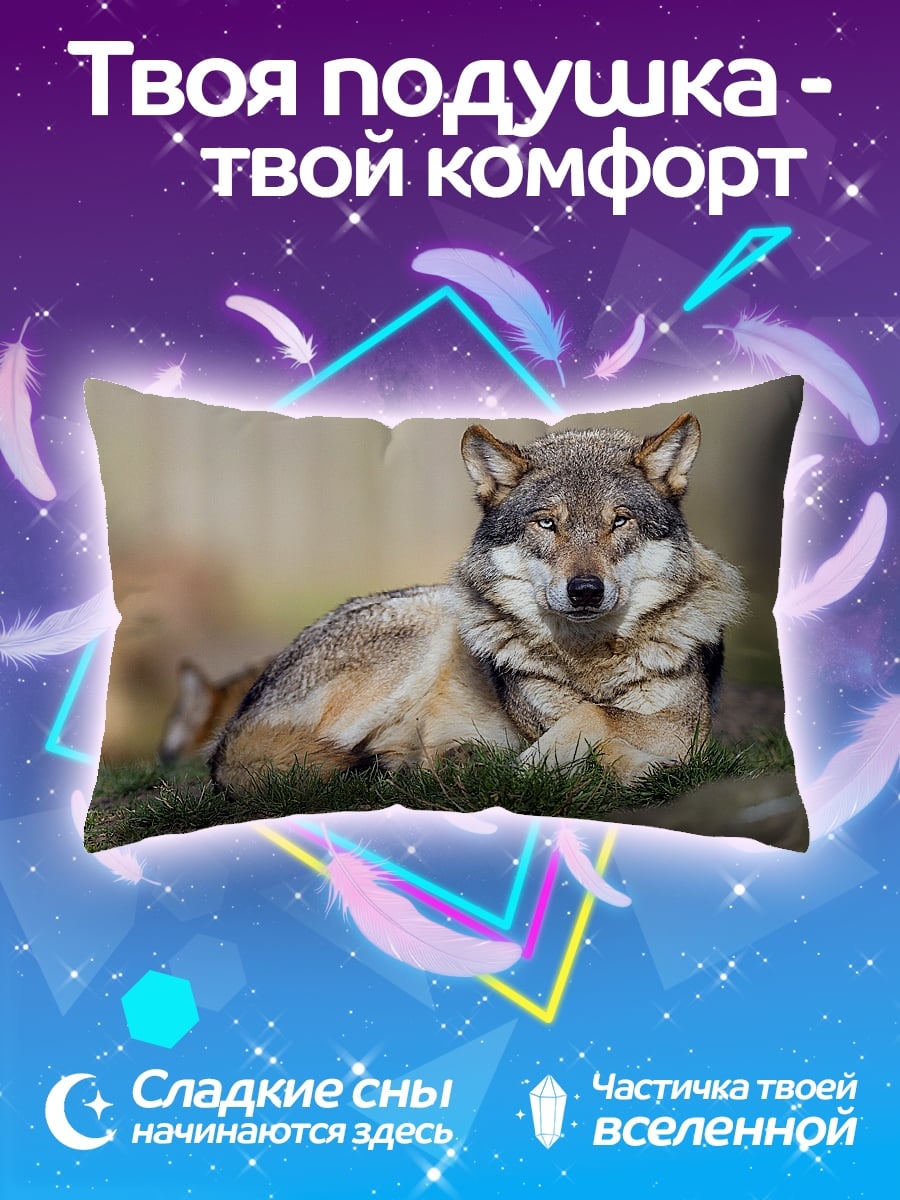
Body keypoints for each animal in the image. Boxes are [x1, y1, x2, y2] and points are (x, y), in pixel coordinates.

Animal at [209, 413, 746, 794]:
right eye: (546, 523)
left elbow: (600, 718)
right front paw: (536, 768)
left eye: (620, 521)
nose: (585, 590)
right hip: (422, 637)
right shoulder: (551, 719)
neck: (589, 662)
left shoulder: (688, 728)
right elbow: (593, 721)